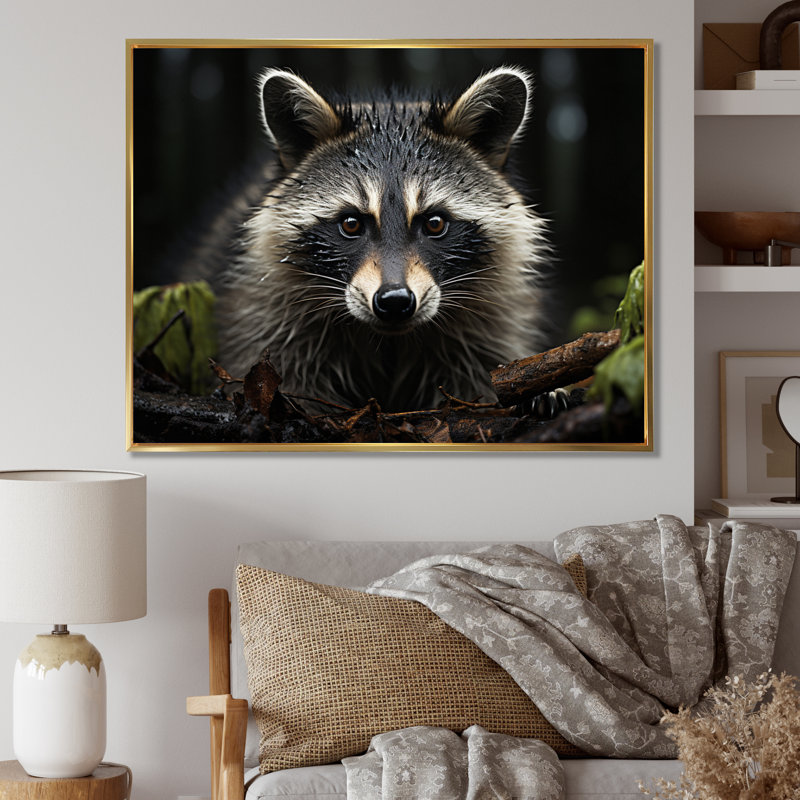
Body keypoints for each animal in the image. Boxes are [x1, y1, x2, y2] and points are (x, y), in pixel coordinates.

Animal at [186, 65, 550, 411]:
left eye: (434, 224)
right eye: (351, 224)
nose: (395, 301)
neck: (389, 340)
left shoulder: (490, 319)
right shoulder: (263, 312)